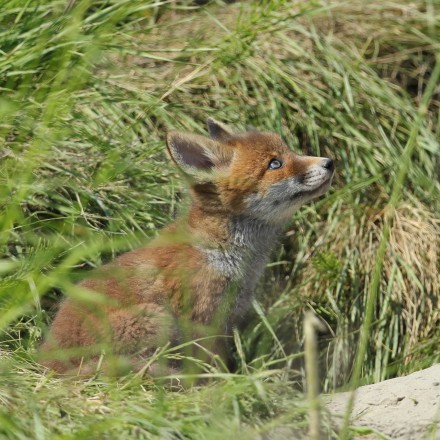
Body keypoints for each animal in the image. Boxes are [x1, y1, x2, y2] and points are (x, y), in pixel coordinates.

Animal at [41, 117, 336, 374]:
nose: (330, 162)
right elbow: (210, 369)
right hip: (155, 320)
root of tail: (47, 363)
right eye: (275, 163)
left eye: (289, 151)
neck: (222, 253)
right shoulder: (203, 325)